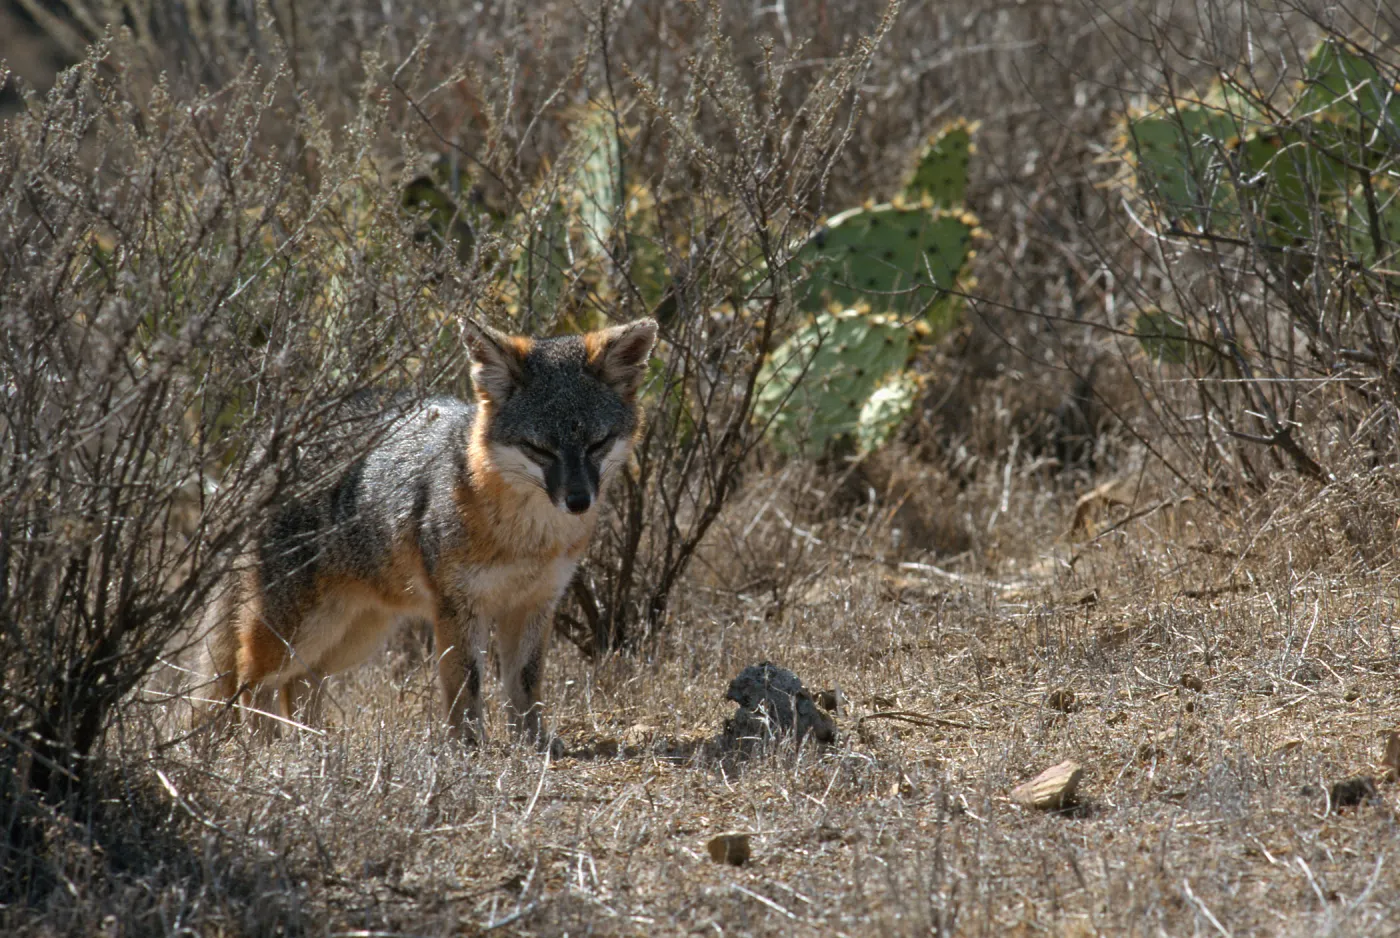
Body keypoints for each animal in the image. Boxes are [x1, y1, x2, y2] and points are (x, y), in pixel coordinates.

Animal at [200, 317, 658, 750]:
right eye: (540, 449)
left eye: (597, 443)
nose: (578, 500)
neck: (527, 539)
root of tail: (266, 446)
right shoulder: (458, 607)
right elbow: (466, 681)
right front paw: (469, 745)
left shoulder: (535, 603)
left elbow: (526, 683)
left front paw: (533, 741)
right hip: (300, 629)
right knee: (251, 679)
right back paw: (263, 749)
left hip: (352, 633)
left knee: (299, 681)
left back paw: (312, 745)